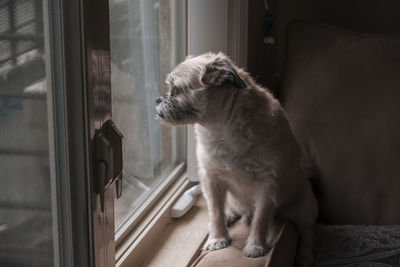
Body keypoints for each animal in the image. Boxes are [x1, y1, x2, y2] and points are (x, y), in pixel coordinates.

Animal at [155, 52, 318, 267]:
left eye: (177, 89)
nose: (157, 100)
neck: (222, 129)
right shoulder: (211, 179)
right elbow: (215, 210)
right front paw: (217, 238)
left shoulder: (268, 185)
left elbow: (261, 218)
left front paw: (256, 245)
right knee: (228, 209)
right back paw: (229, 216)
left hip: (305, 209)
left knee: (307, 233)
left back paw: (305, 256)